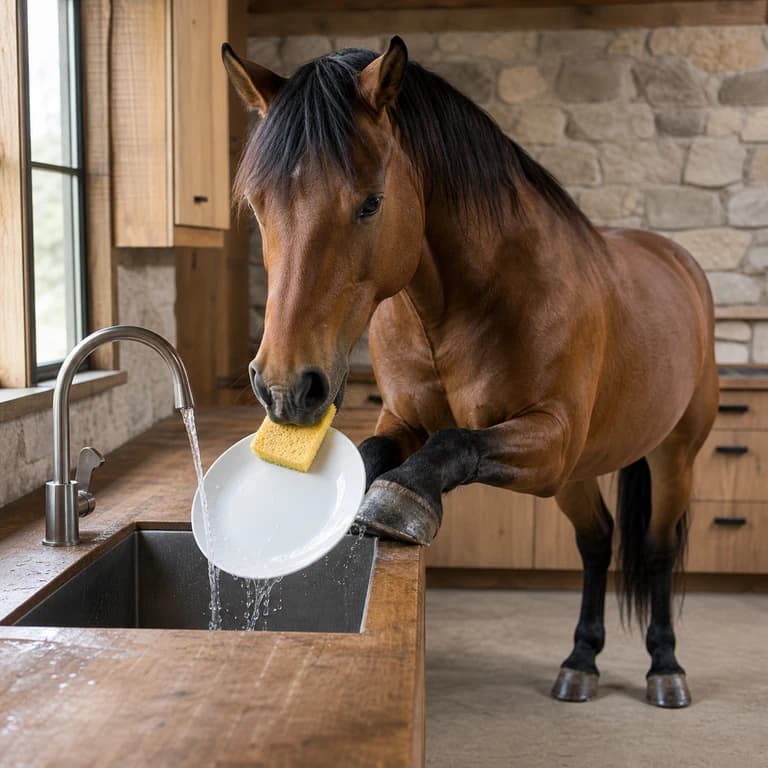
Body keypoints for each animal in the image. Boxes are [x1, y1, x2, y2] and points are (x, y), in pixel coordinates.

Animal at [222, 37, 718, 709]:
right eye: (257, 204)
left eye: (371, 202)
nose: (285, 388)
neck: (463, 306)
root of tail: (677, 259)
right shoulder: (406, 420)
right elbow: (376, 450)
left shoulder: (550, 437)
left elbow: (455, 445)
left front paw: (398, 502)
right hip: (578, 474)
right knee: (596, 541)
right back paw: (581, 660)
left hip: (671, 457)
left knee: (658, 549)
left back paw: (665, 667)